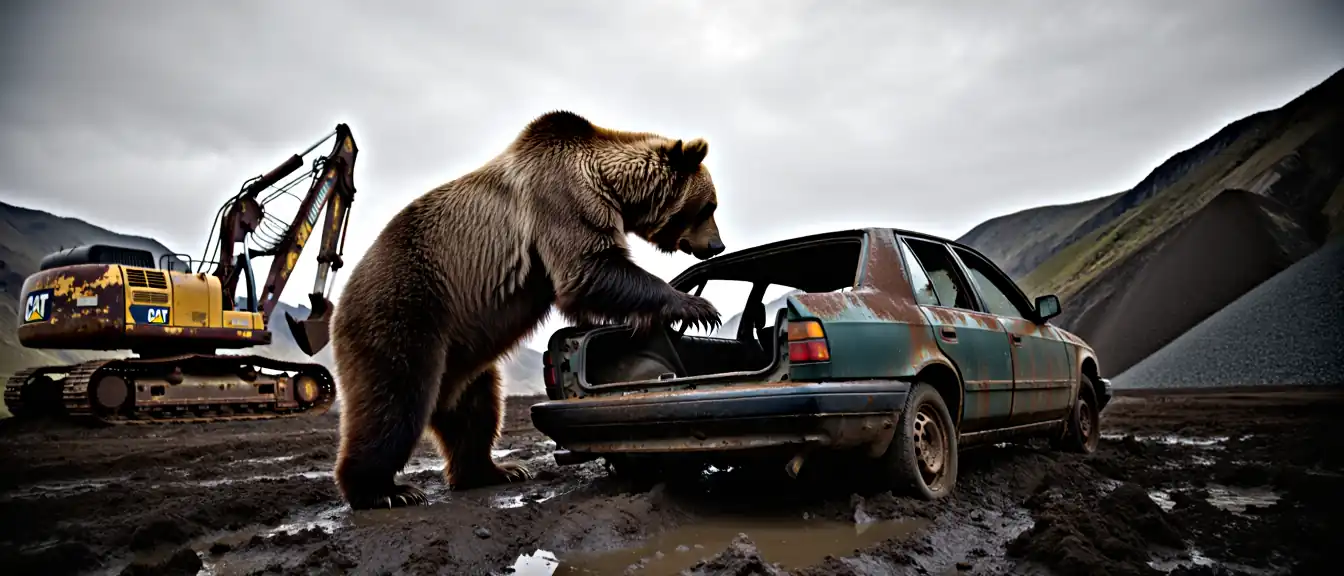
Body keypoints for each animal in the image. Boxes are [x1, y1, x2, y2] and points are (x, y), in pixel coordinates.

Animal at [328, 110, 728, 510]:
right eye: (709, 206)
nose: (717, 245)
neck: (611, 187)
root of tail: (340, 298)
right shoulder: (562, 200)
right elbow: (590, 269)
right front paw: (698, 307)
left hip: (462, 351)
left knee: (476, 411)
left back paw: (494, 471)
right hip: (407, 305)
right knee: (394, 399)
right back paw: (384, 490)